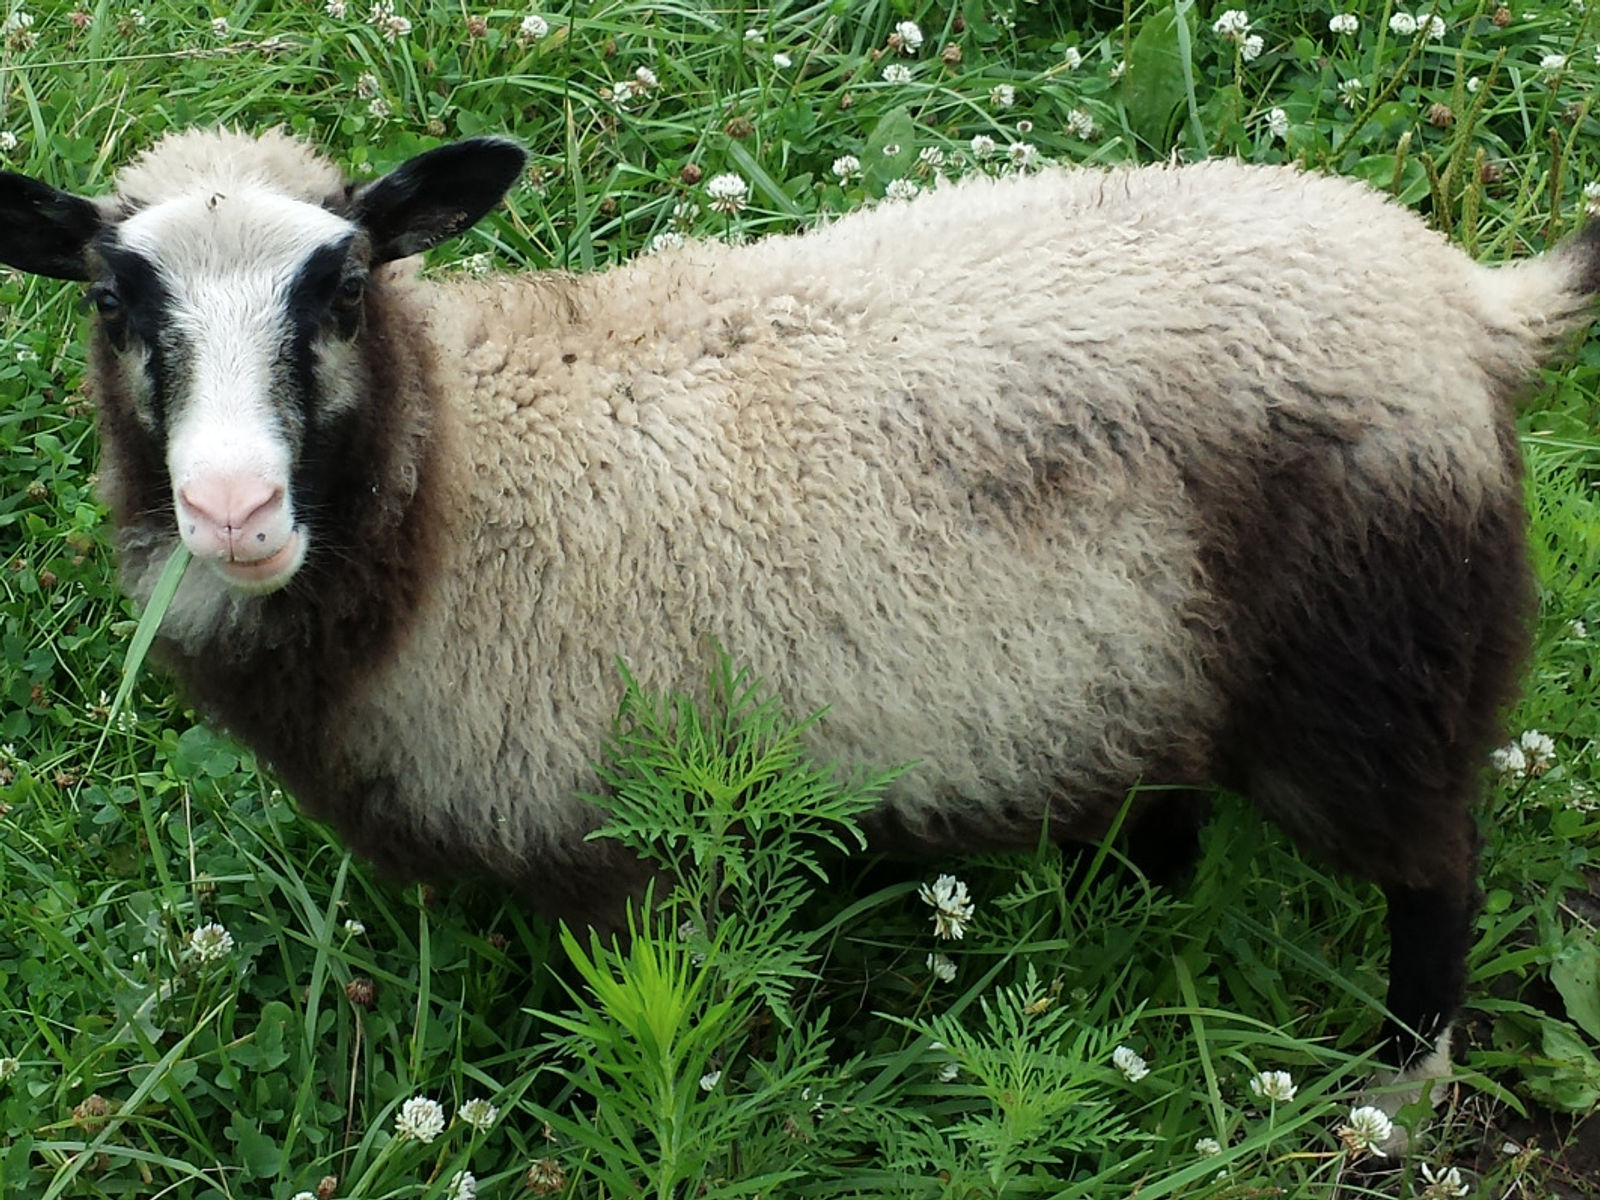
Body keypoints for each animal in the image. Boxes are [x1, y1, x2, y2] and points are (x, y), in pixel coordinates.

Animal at [1, 127, 1594, 1103]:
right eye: (112, 299)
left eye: (339, 287)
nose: (230, 510)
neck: (467, 482)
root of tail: (1466, 299)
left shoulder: (639, 859)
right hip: (1161, 668)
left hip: (1376, 674)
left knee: (1437, 870)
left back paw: (1397, 1088)